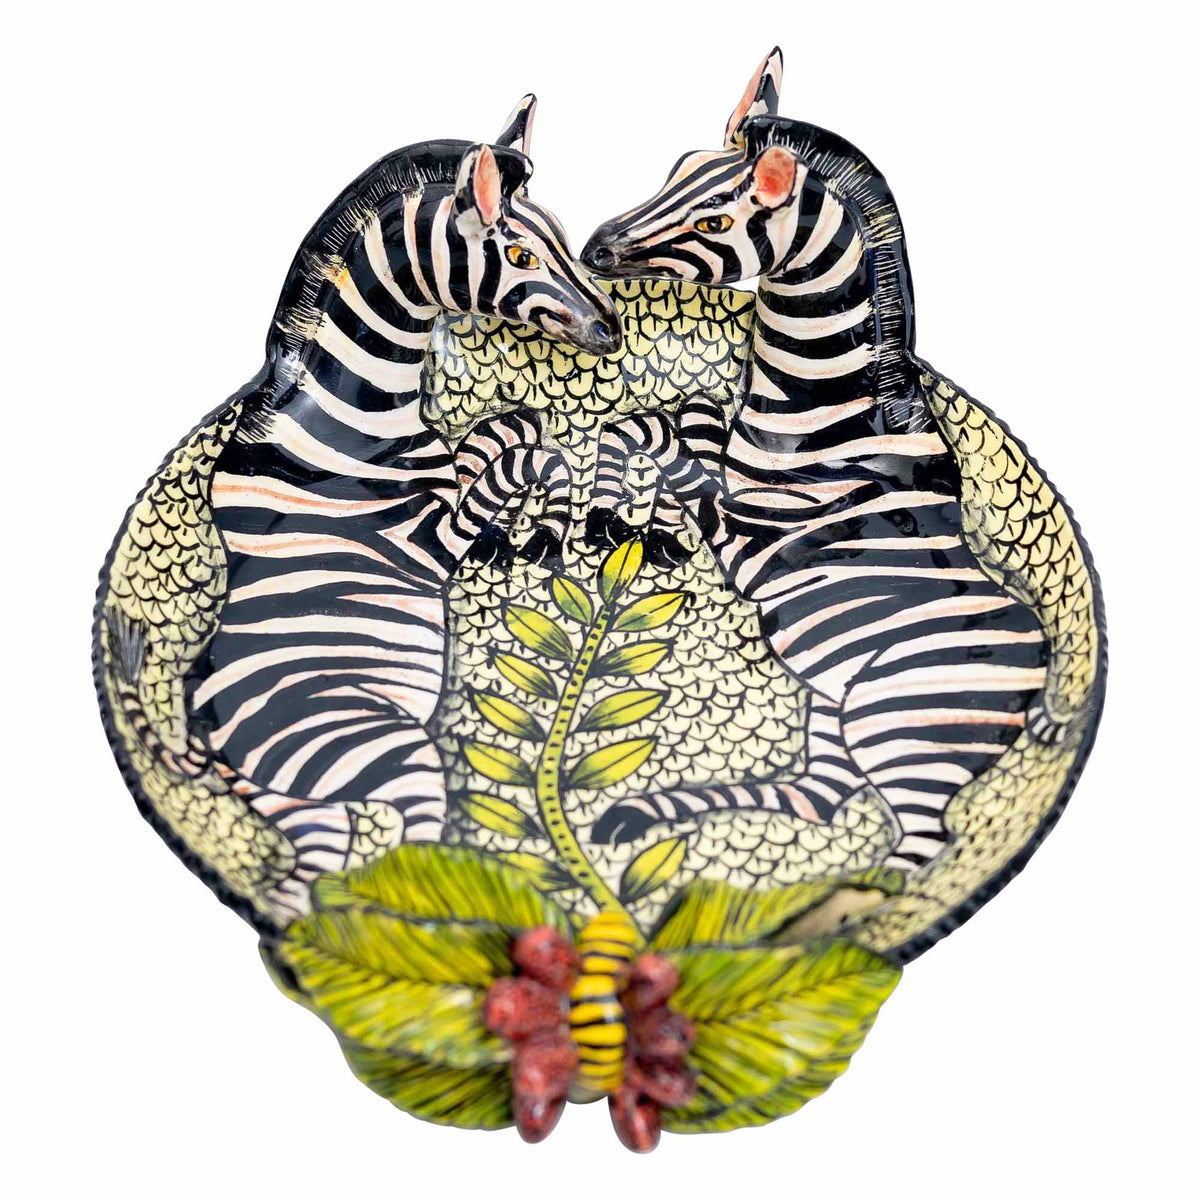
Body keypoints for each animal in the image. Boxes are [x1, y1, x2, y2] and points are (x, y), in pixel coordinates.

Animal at [150, 97, 622, 919]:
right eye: (521, 256)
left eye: (565, 239)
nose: (611, 329)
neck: (351, 416)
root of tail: (205, 730)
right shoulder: (424, 539)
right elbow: (524, 459)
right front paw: (547, 531)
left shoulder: (452, 460)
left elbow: (515, 430)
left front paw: (540, 525)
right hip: (385, 750)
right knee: (411, 849)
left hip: (302, 803)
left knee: (305, 888)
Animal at [578, 51, 1069, 871]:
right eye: (677, 167)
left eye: (715, 222)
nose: (595, 250)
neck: (825, 414)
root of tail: (1037, 683)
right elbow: (673, 419)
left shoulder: (750, 539)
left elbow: (672, 451)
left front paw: (616, 486)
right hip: (834, 706)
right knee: (817, 796)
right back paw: (639, 819)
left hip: (895, 723)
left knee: (920, 844)